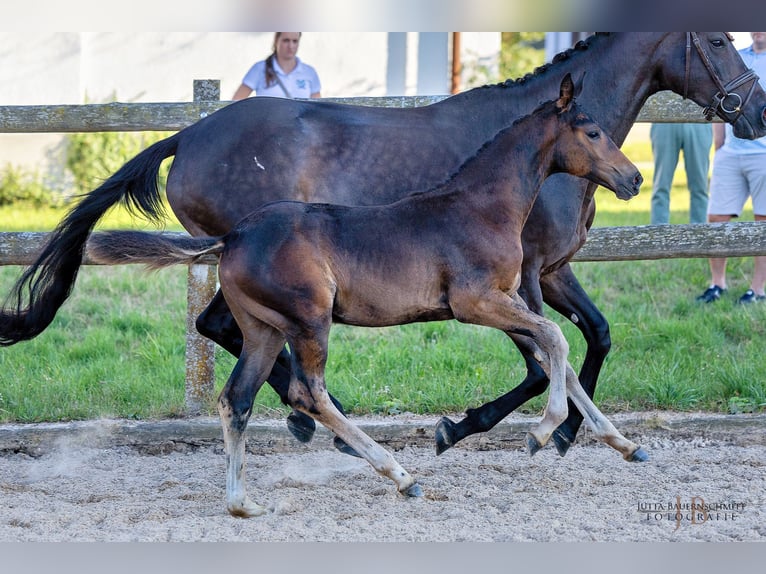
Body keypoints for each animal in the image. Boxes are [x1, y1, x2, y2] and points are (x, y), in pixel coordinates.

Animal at [93, 74, 652, 520]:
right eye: (593, 132)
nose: (634, 178)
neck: (481, 207)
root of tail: (232, 238)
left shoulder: (509, 300)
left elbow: (558, 355)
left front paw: (624, 444)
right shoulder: (476, 304)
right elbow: (556, 340)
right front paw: (542, 433)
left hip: (265, 329)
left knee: (237, 397)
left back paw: (242, 502)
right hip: (309, 320)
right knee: (308, 392)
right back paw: (401, 476)